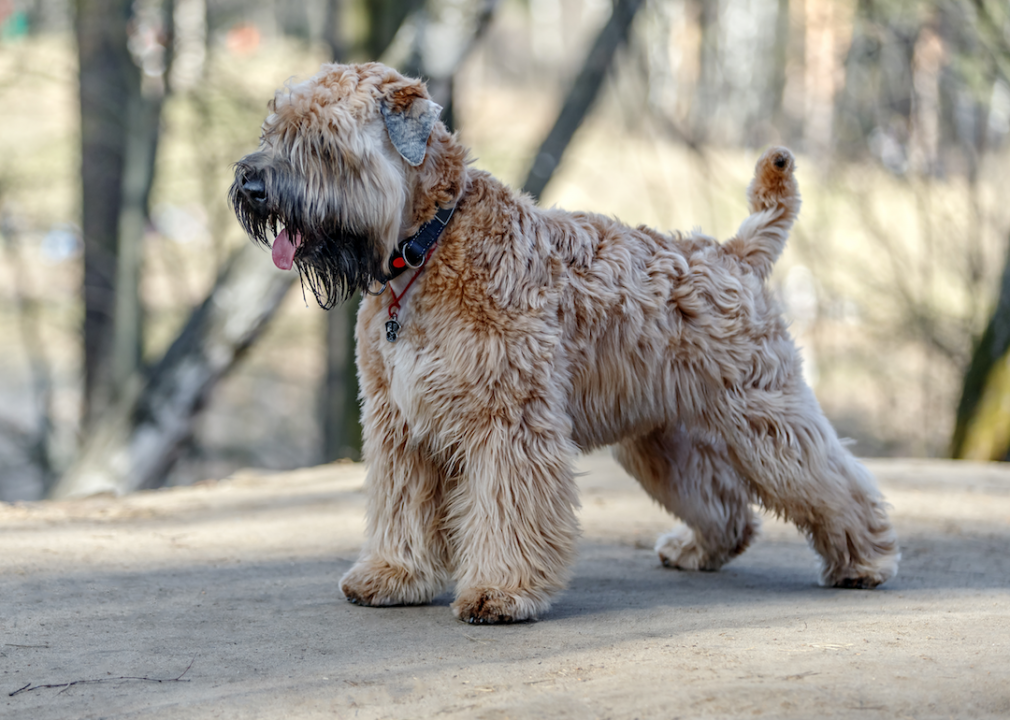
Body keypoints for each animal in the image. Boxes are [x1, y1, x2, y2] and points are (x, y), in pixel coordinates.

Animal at [231, 63, 900, 622]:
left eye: (322, 140)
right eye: (275, 127)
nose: (250, 183)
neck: (426, 249)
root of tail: (735, 253)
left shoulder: (508, 421)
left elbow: (507, 510)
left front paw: (502, 592)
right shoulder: (400, 425)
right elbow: (402, 507)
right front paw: (394, 575)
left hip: (765, 417)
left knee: (832, 481)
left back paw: (865, 560)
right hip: (662, 438)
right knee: (724, 503)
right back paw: (697, 548)